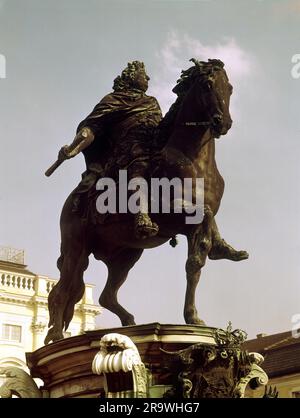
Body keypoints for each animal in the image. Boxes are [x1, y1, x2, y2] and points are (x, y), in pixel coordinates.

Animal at [44, 59, 246, 346]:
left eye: (229, 87)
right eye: (208, 85)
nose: (223, 123)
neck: (191, 158)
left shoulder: (194, 226)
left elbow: (196, 262)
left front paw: (193, 316)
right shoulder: (174, 213)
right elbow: (204, 216)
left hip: (126, 255)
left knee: (106, 295)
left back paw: (129, 323)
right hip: (75, 248)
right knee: (63, 290)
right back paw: (57, 336)